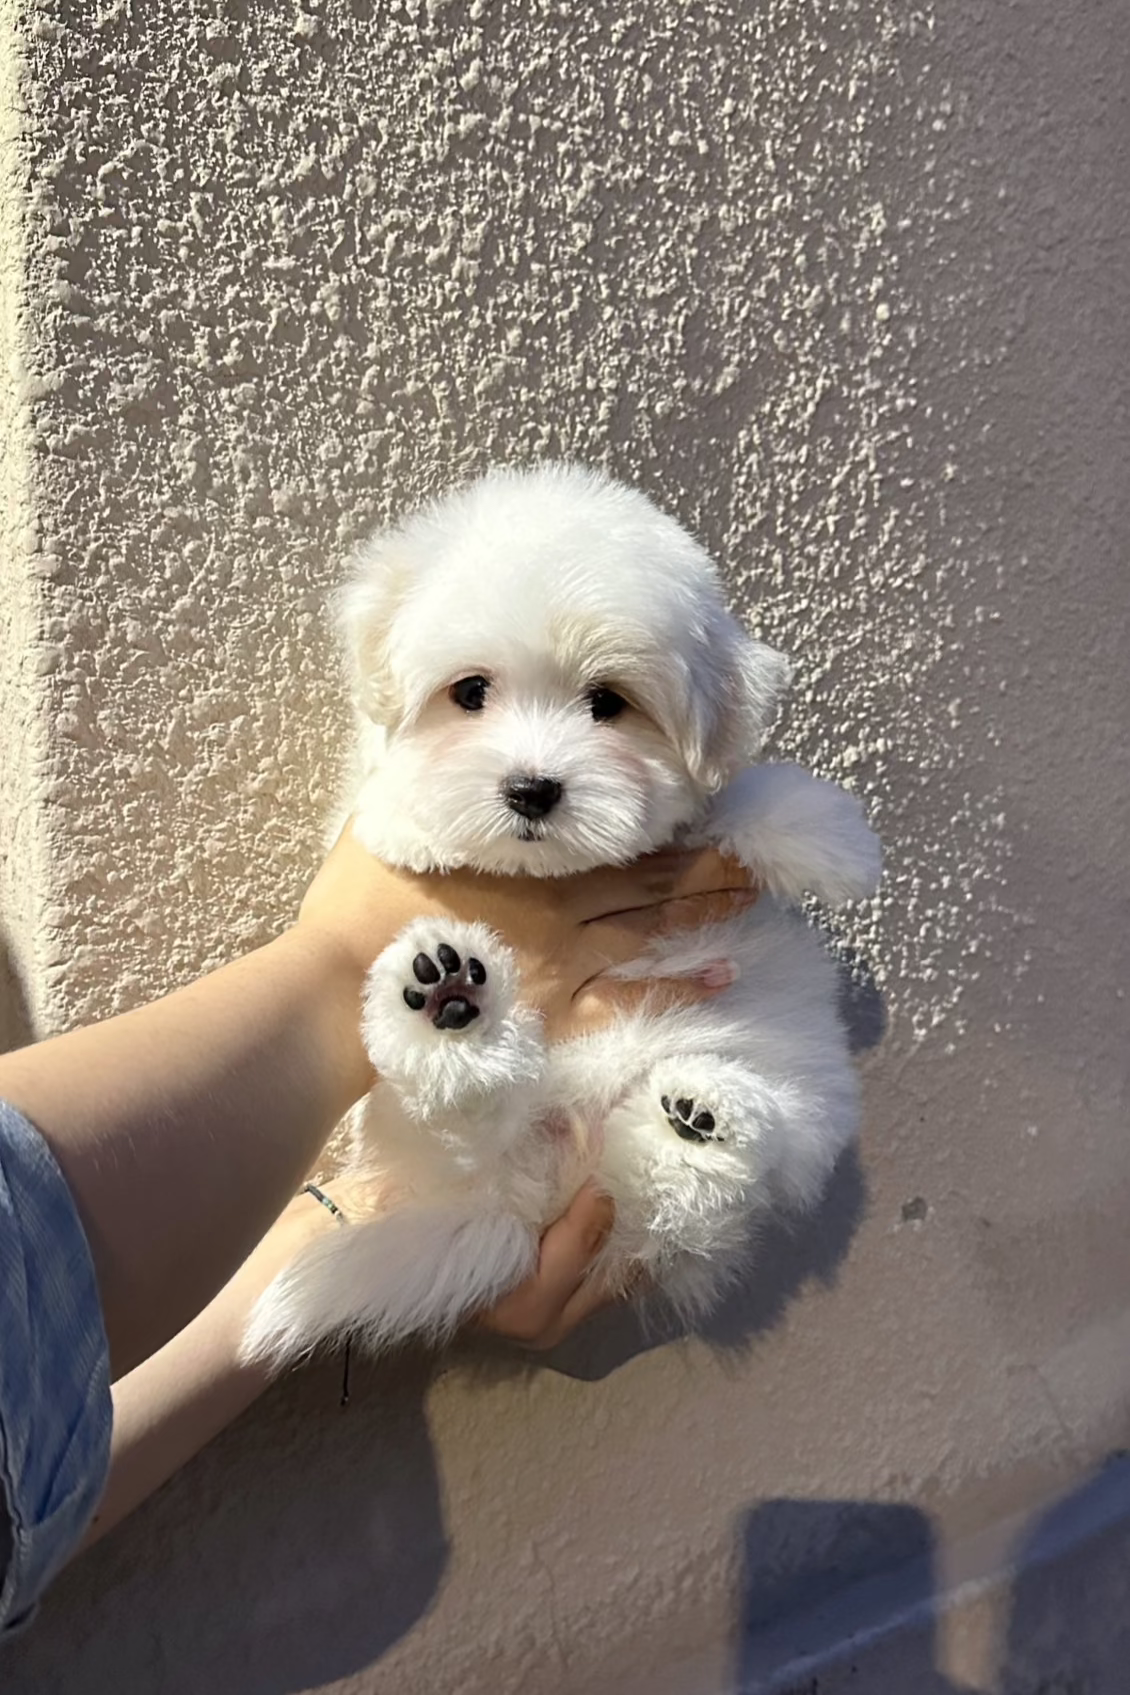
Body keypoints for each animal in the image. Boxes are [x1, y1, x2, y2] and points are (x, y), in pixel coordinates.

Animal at [247, 464, 880, 1362]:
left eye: (608, 702)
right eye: (470, 691)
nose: (531, 788)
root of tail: (543, 1191)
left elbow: (729, 797)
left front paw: (827, 836)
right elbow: (380, 796)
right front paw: (412, 823)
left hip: (800, 1104)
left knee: (704, 1189)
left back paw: (699, 1121)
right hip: (413, 1131)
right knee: (460, 1115)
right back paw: (449, 1010)